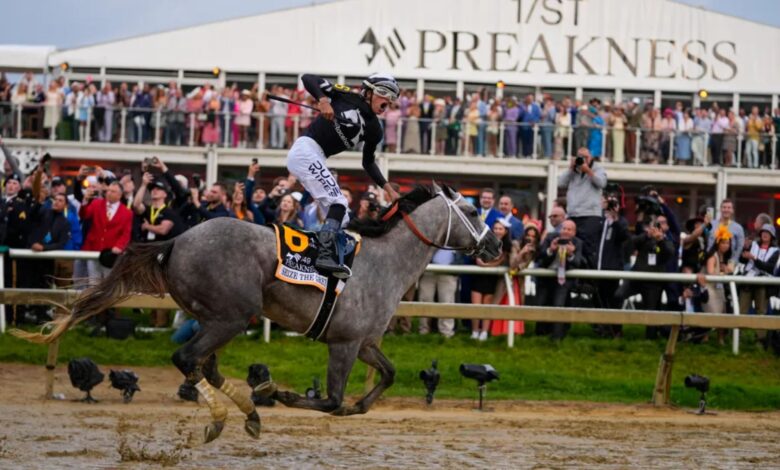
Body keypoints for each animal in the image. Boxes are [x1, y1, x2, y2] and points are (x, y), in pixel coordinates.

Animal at [15, 183, 502, 440]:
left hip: (214, 317)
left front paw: (354, 406)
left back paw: (247, 412)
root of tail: (178, 240)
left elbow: (386, 376)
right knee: (187, 359)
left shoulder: (364, 343)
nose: (497, 245)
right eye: (472, 209)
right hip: (232, 315)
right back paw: (226, 414)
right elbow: (330, 399)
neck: (386, 261)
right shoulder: (344, 344)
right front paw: (280, 393)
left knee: (203, 365)